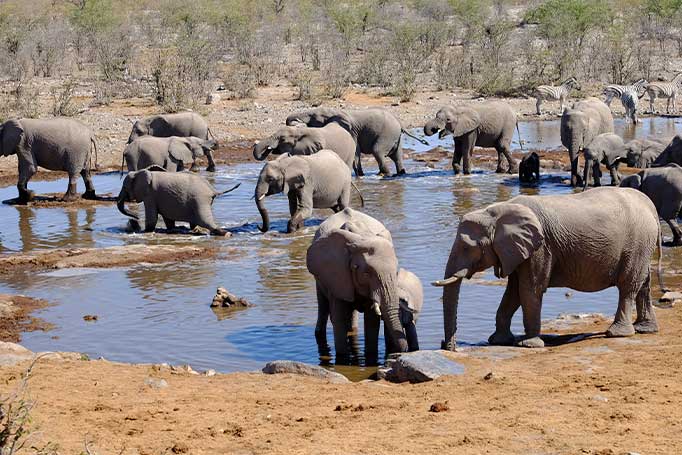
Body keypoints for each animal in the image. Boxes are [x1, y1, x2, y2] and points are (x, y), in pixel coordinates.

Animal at [285, 107, 428, 176]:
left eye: (313, 117)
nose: (295, 122)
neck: (337, 111)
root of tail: (400, 124)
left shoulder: (352, 132)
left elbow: (355, 151)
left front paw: (360, 175)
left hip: (387, 134)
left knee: (378, 152)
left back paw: (383, 174)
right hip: (395, 137)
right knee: (397, 156)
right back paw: (400, 174)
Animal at [307, 207, 409, 364]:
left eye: (396, 269)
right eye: (366, 273)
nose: (399, 353)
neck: (360, 237)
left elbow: (372, 320)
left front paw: (371, 358)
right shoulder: (337, 275)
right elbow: (339, 318)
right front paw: (342, 360)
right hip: (320, 278)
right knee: (323, 307)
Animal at [433, 187, 661, 350]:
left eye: (466, 247)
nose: (449, 347)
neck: (496, 211)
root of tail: (650, 205)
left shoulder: (540, 248)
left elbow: (529, 290)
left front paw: (529, 345)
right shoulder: (518, 251)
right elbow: (513, 292)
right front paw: (498, 341)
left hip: (637, 243)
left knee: (628, 286)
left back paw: (618, 333)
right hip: (643, 245)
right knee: (643, 284)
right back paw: (645, 329)